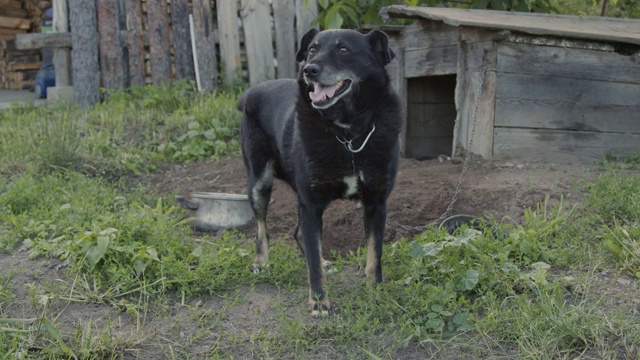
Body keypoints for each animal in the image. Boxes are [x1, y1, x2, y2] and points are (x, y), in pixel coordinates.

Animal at [238, 28, 402, 316]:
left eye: (344, 50)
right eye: (312, 49)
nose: (309, 70)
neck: (347, 136)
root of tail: (252, 91)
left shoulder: (376, 202)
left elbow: (375, 255)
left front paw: (376, 292)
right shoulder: (311, 203)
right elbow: (312, 262)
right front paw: (318, 301)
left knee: (299, 233)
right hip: (259, 183)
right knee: (262, 228)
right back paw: (261, 261)